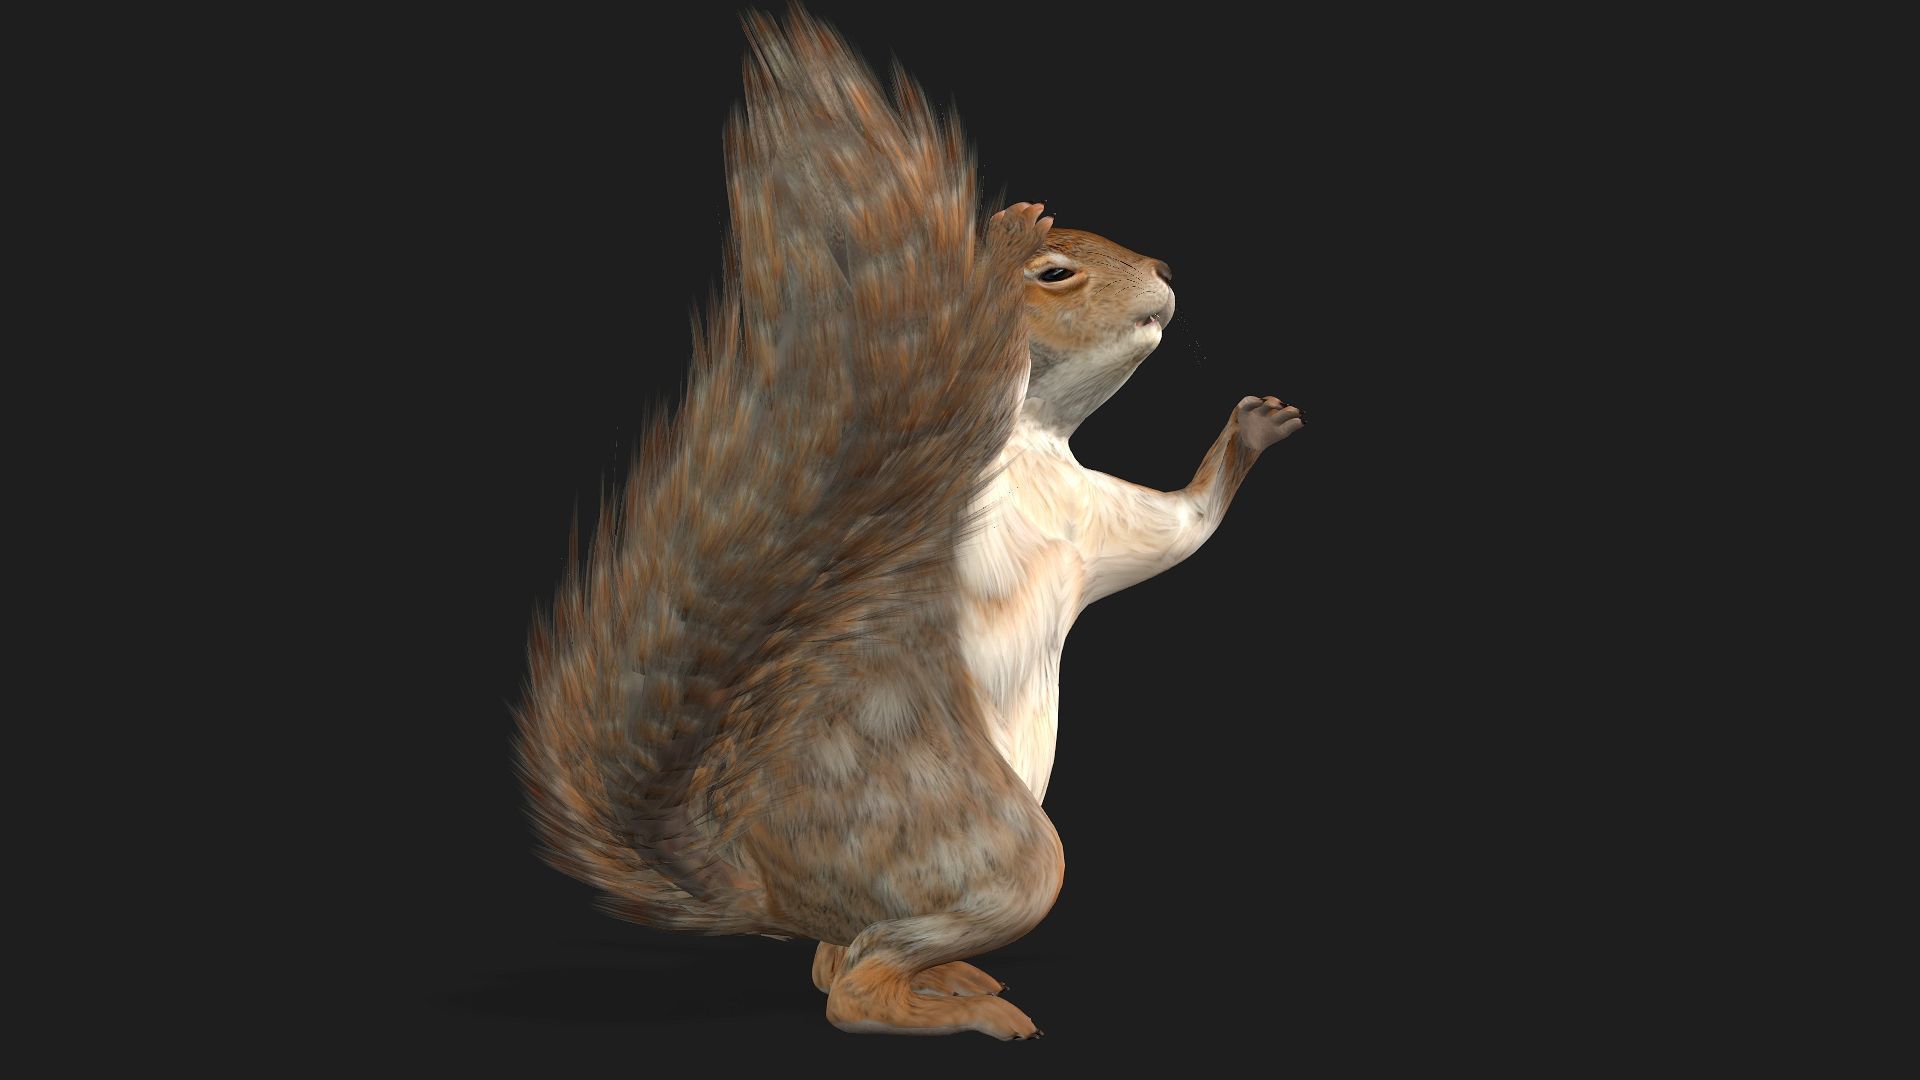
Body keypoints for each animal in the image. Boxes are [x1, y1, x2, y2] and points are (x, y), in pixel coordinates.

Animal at [514, 8, 1302, 1040]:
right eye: (1055, 272)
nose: (1166, 273)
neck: (1037, 444)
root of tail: (762, 889)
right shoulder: (961, 472)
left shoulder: (1098, 519)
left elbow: (1182, 528)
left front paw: (1256, 425)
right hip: (985, 841)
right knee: (849, 989)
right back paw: (955, 1011)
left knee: (833, 961)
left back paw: (952, 980)